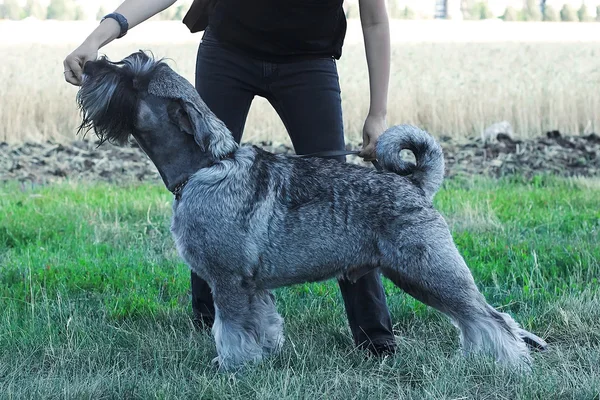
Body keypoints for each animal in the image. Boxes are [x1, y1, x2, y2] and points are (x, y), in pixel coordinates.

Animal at [75, 50, 548, 372]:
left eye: (134, 79)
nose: (89, 66)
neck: (204, 166)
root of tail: (414, 184)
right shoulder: (252, 286)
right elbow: (261, 324)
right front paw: (261, 357)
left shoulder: (228, 282)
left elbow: (229, 330)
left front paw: (232, 367)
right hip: (422, 277)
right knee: (477, 319)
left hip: (430, 272)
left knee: (492, 318)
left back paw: (509, 364)